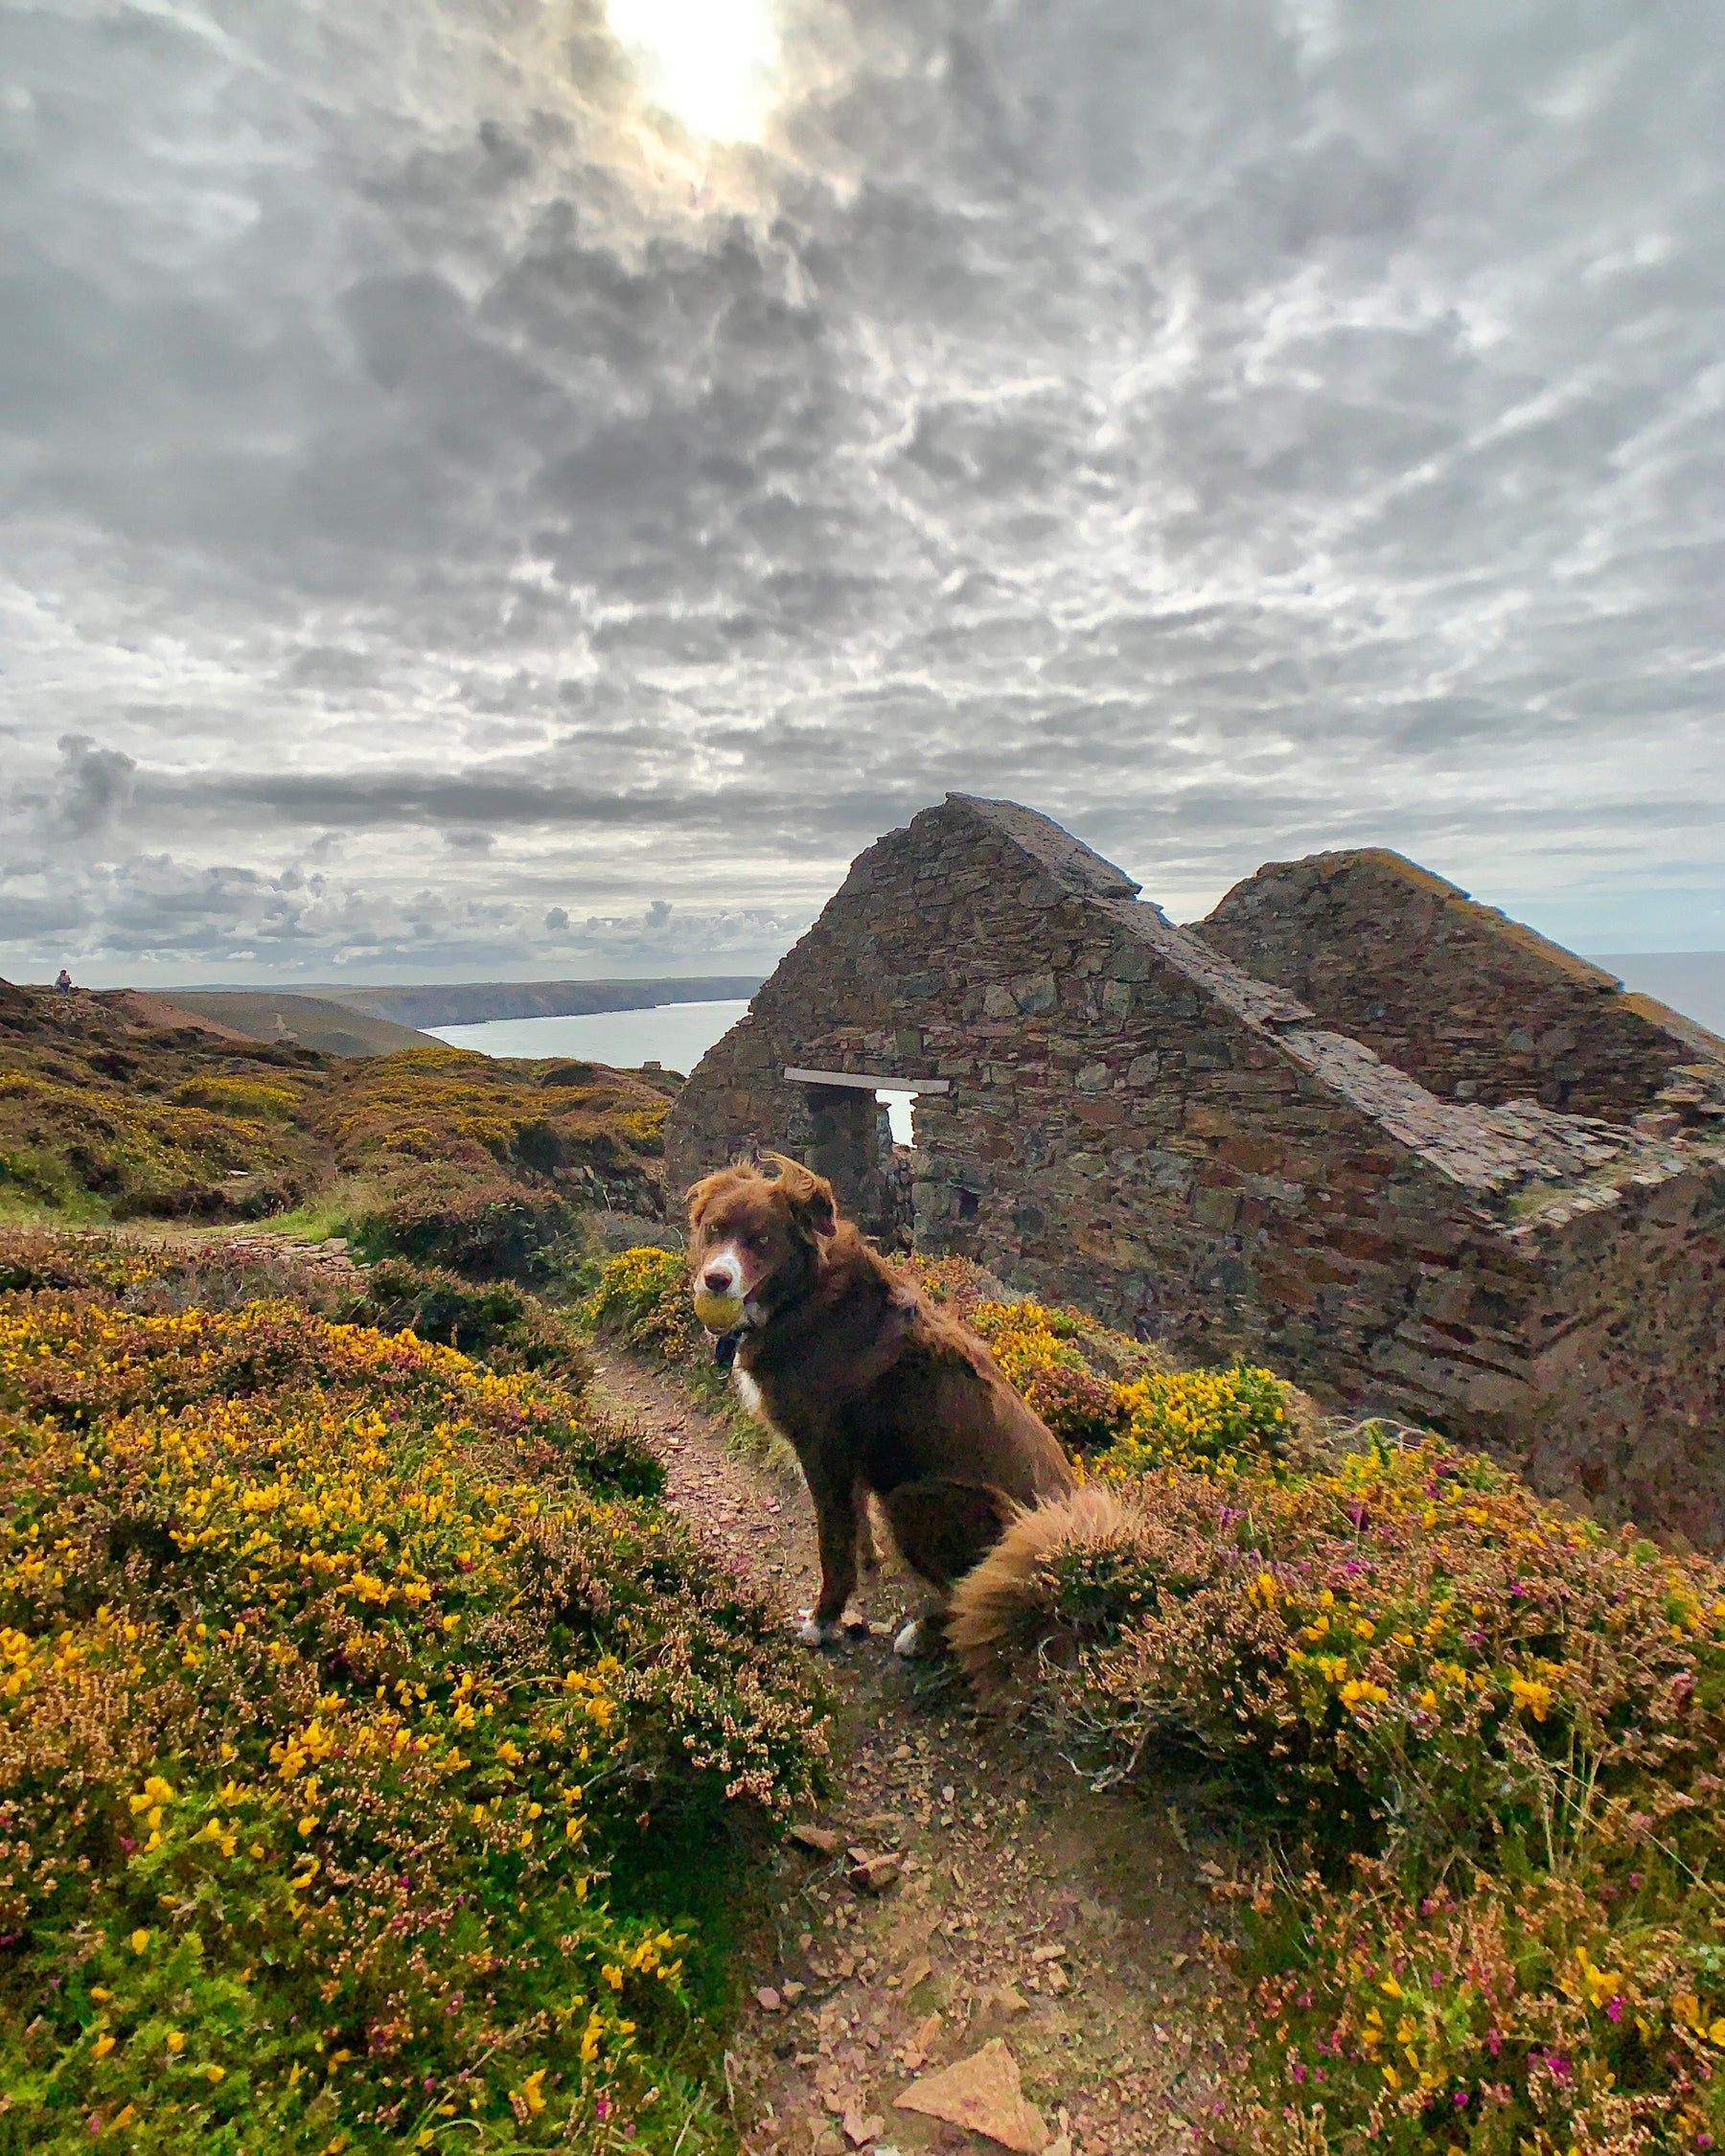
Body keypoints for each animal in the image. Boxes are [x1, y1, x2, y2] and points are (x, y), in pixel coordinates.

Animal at [681, 1164, 1070, 1647]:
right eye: (715, 1230)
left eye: (762, 1240)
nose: (715, 1280)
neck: (803, 1297)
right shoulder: (850, 1461)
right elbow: (857, 1526)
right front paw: (868, 1565)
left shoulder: (824, 1450)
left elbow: (834, 1545)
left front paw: (824, 1620)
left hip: (914, 1497)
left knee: (973, 1596)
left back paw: (921, 1634)